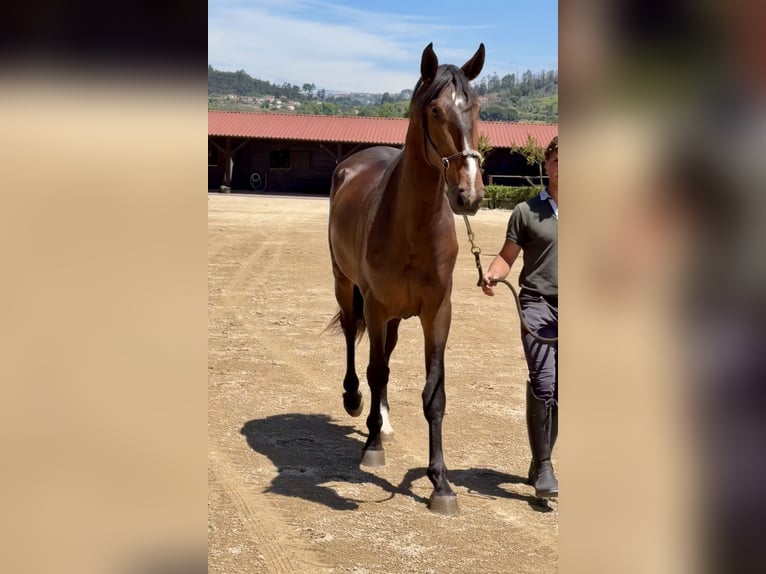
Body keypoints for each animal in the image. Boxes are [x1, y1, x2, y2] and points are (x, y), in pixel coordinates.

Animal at [327, 43, 486, 515]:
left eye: (475, 106)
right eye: (434, 110)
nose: (469, 195)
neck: (413, 225)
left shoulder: (438, 313)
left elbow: (434, 394)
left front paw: (441, 483)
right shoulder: (376, 306)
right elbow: (375, 370)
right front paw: (372, 447)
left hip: (396, 317)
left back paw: (383, 419)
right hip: (347, 288)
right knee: (353, 341)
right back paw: (356, 402)